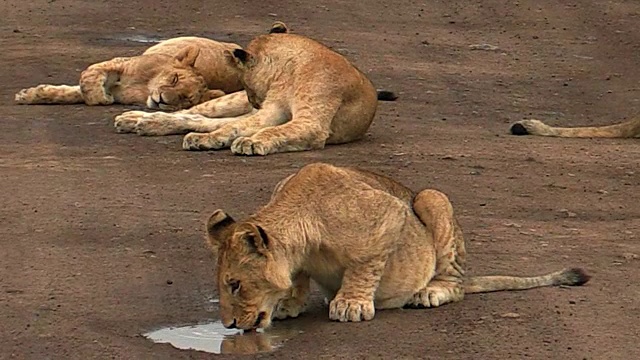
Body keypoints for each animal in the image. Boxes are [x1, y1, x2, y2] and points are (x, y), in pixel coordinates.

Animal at [15, 36, 245, 110]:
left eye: (186, 99)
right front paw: (30, 95)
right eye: (174, 79)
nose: (163, 100)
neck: (144, 88)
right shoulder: (120, 63)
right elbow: (87, 78)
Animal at [112, 21, 398, 155]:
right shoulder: (271, 111)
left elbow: (270, 130)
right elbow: (234, 127)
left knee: (204, 121)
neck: (289, 72)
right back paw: (138, 119)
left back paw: (150, 124)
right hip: (229, 102)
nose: (253, 102)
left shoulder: (310, 123)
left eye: (245, 80)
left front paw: (250, 142)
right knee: (193, 113)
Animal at [204, 162, 592, 330]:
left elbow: (364, 265)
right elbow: (297, 277)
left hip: (431, 198)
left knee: (455, 284)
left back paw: (429, 293)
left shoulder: (389, 214)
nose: (229, 326)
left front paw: (351, 304)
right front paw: (289, 302)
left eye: (234, 285)